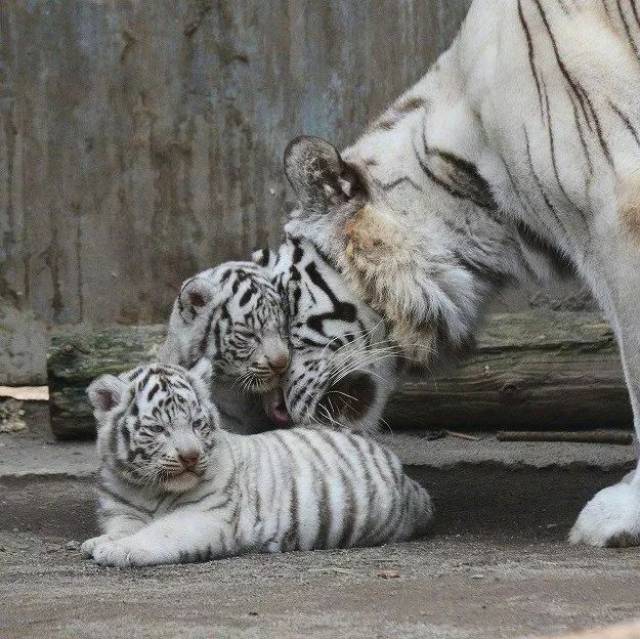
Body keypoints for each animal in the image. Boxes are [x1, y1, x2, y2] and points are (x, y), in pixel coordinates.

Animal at [80, 362, 430, 568]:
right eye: (158, 429)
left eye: (197, 424)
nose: (190, 456)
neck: (147, 488)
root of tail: (409, 482)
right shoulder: (124, 511)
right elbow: (123, 528)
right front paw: (99, 542)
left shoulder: (207, 514)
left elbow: (160, 532)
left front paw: (117, 551)